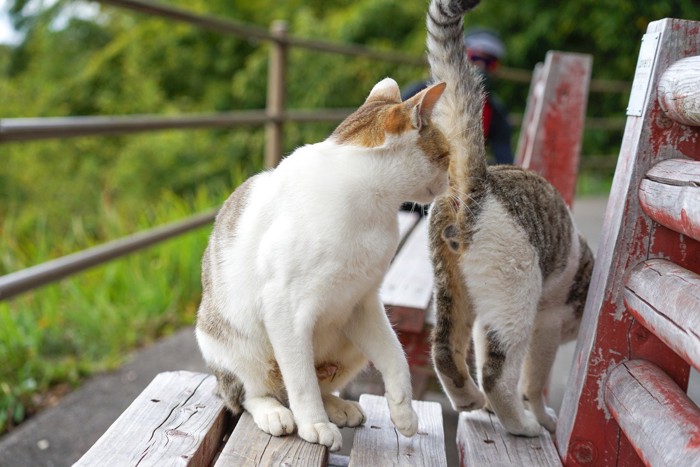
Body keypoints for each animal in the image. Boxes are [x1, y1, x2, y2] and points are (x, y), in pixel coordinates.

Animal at [196, 78, 454, 452]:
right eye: (446, 156)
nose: (451, 182)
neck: (373, 208)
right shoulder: (284, 309)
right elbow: (301, 381)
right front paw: (314, 425)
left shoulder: (363, 302)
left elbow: (396, 357)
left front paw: (403, 412)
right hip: (235, 347)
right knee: (251, 394)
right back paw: (275, 412)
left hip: (351, 348)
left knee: (320, 383)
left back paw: (336, 405)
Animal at [424, 0, 592, 436]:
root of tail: (479, 182)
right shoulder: (547, 323)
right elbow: (534, 381)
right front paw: (543, 416)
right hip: (517, 292)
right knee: (497, 374)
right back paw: (519, 424)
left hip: (454, 286)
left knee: (445, 349)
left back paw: (469, 399)